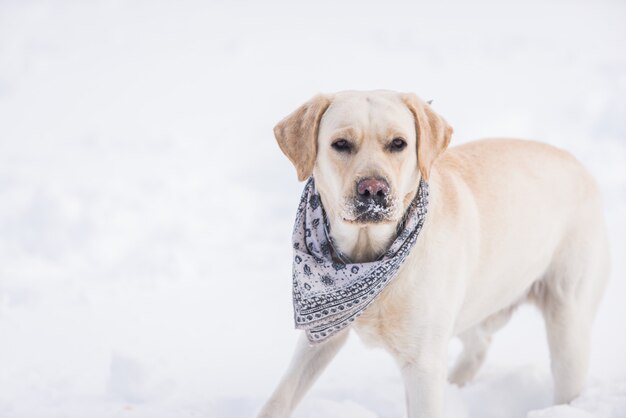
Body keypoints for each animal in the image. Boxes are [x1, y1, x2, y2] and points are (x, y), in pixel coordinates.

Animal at [256, 90, 608, 416]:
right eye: (340, 144)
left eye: (398, 143)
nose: (374, 190)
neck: (370, 256)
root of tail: (579, 165)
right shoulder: (322, 335)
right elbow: (280, 396)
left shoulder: (422, 363)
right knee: (479, 345)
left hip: (568, 319)